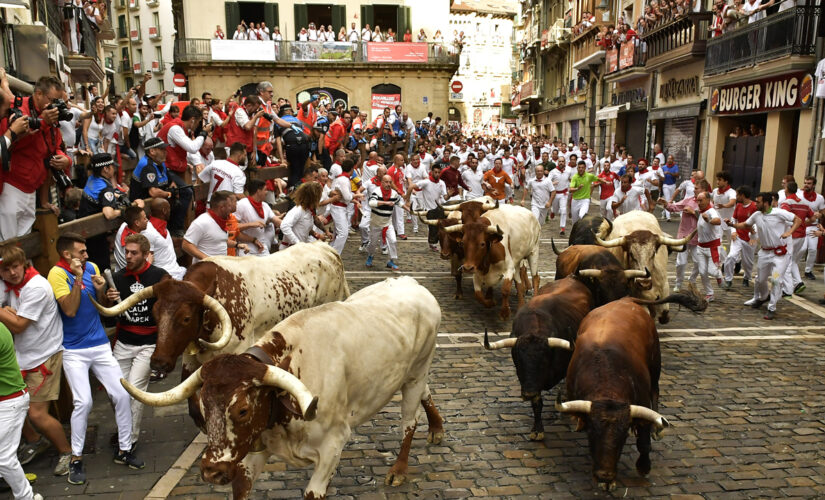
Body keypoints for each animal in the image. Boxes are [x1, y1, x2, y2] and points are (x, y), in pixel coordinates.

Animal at [120, 278, 444, 500]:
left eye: (243, 410)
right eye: (202, 407)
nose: (211, 470)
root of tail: (411, 283)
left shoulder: (333, 446)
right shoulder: (251, 452)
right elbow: (242, 486)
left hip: (417, 371)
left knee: (409, 420)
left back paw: (399, 470)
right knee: (427, 393)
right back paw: (437, 428)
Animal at [556, 298, 672, 490]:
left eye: (624, 434)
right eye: (591, 431)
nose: (605, 476)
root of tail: (625, 299)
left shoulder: (642, 404)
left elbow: (643, 443)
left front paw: (644, 466)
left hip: (656, 364)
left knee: (655, 391)